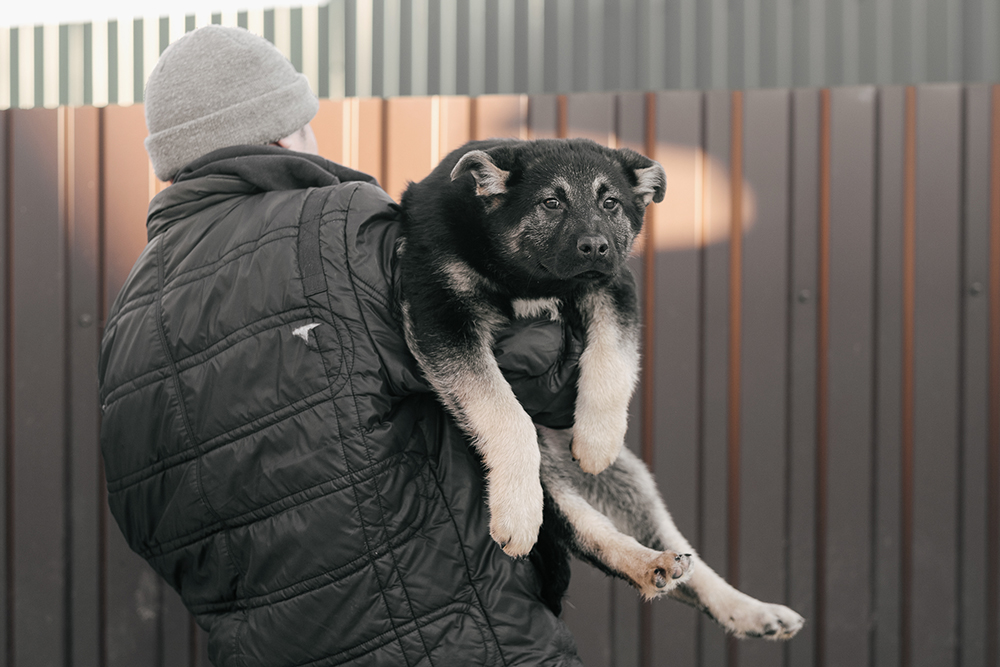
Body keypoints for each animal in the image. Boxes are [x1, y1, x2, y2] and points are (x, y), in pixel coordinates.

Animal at [398, 137, 804, 640]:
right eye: (551, 203)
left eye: (610, 203)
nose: (595, 246)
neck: (527, 277)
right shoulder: (440, 311)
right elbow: (505, 411)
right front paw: (517, 513)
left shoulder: (613, 285)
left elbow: (612, 356)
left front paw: (596, 440)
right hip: (553, 486)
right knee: (591, 532)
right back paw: (643, 563)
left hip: (632, 483)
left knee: (678, 556)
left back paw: (737, 604)